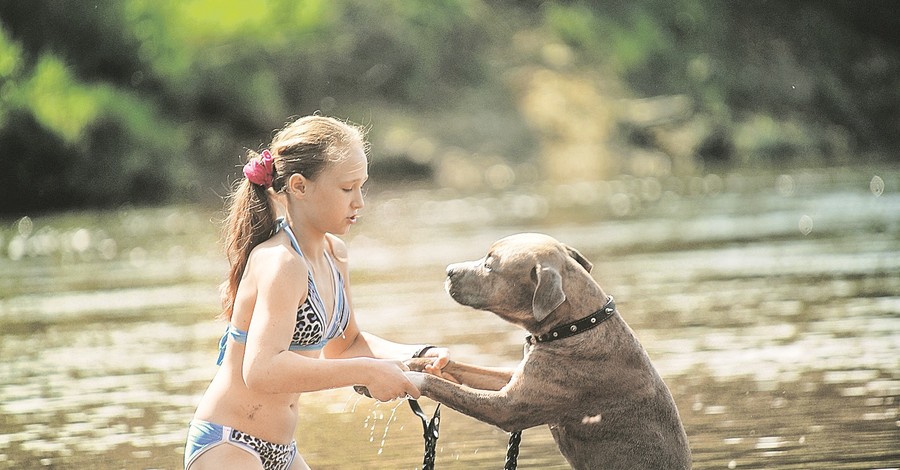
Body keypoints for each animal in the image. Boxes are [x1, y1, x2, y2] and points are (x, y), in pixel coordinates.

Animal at [404, 234, 692, 470]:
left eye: (489, 265)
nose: (449, 270)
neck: (575, 327)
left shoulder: (506, 407)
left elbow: (443, 387)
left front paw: (411, 378)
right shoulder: (516, 379)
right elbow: (462, 370)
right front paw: (420, 362)